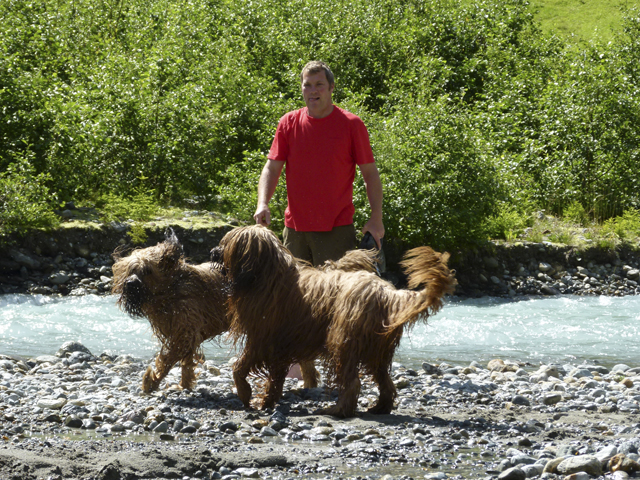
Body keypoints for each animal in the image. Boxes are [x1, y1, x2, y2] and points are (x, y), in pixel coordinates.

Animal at [111, 231, 229, 392]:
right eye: (131, 270)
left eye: (147, 271)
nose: (130, 283)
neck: (171, 290)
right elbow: (186, 362)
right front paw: (184, 384)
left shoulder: (185, 330)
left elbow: (168, 359)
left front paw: (152, 381)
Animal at [210, 225, 456, 416]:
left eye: (226, 243)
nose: (212, 252)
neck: (267, 275)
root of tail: (386, 293)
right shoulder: (280, 346)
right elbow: (275, 378)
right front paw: (267, 400)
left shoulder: (261, 338)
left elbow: (239, 366)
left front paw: (245, 393)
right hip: (377, 348)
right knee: (384, 380)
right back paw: (381, 407)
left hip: (343, 339)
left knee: (352, 382)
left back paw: (337, 410)